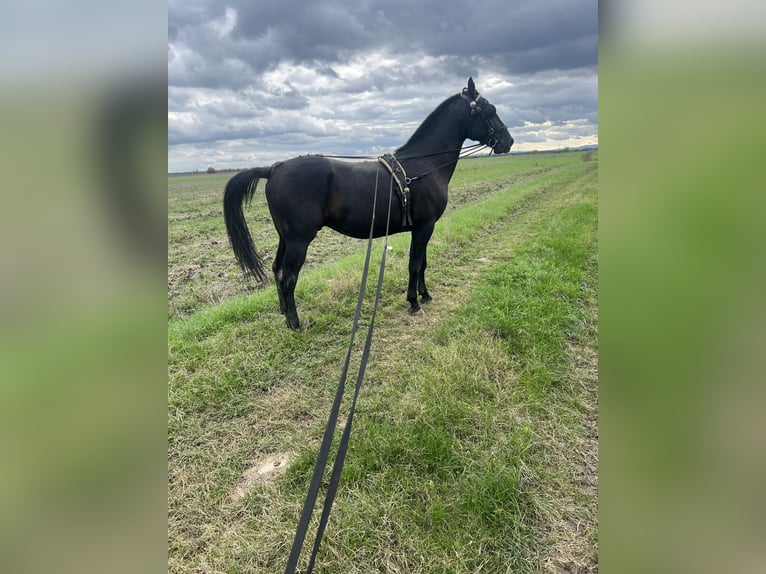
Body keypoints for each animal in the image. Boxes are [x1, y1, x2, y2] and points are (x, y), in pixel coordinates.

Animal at [225, 77, 512, 330]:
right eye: (490, 110)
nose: (508, 141)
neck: (424, 164)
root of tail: (274, 168)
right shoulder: (424, 226)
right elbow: (415, 263)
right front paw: (414, 302)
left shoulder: (424, 228)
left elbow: (423, 262)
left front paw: (425, 295)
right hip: (299, 240)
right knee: (288, 277)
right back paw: (295, 323)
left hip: (285, 237)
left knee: (277, 270)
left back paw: (284, 312)